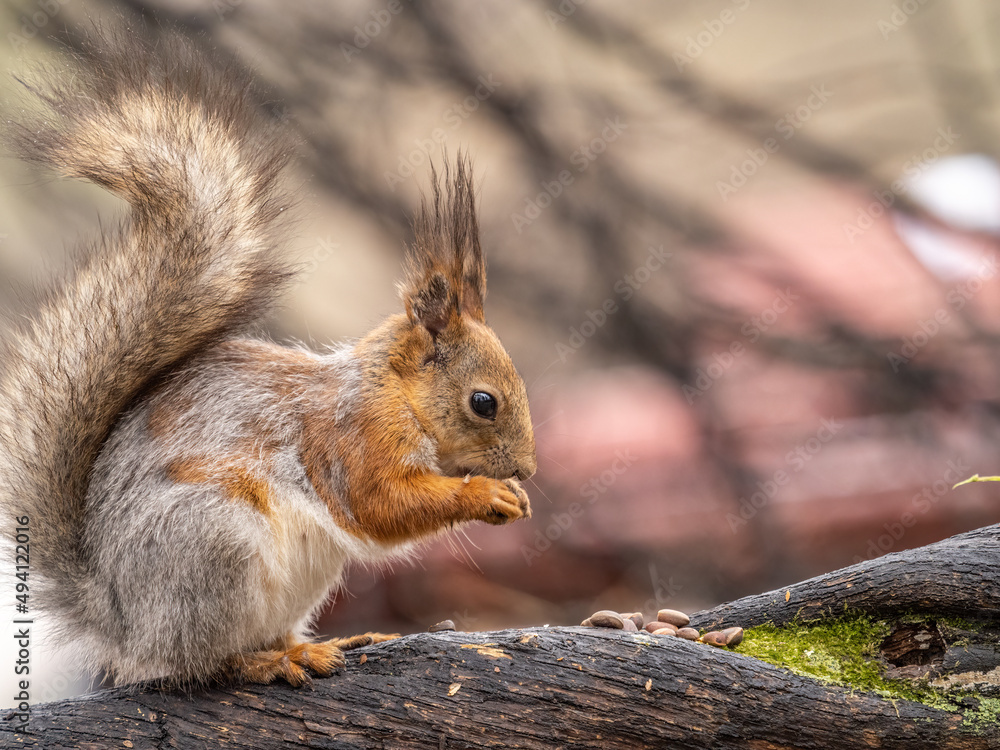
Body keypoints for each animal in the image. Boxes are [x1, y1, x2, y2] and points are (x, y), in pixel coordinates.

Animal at [0, 28, 536, 688]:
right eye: (483, 402)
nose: (528, 469)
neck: (393, 395)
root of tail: (122, 622)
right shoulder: (348, 440)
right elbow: (378, 505)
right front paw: (485, 495)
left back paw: (311, 645)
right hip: (215, 545)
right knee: (197, 661)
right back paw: (267, 661)